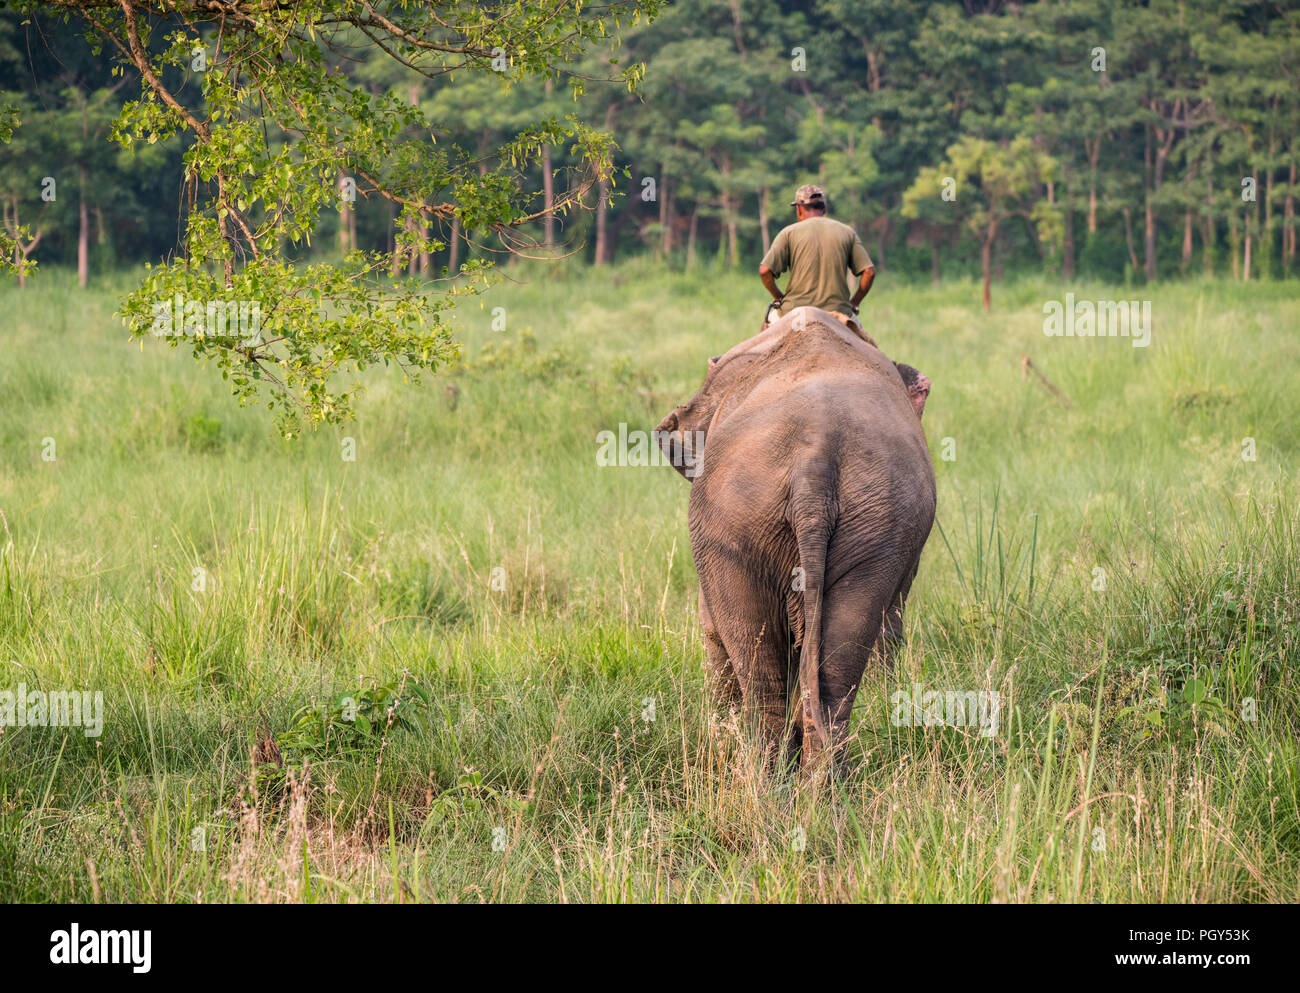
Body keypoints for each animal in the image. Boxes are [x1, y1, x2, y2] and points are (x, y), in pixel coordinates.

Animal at [660, 308, 935, 769]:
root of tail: (814, 460)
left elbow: (711, 628)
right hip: (875, 522)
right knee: (837, 668)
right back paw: (820, 779)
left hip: (734, 524)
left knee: (761, 670)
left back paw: (768, 775)